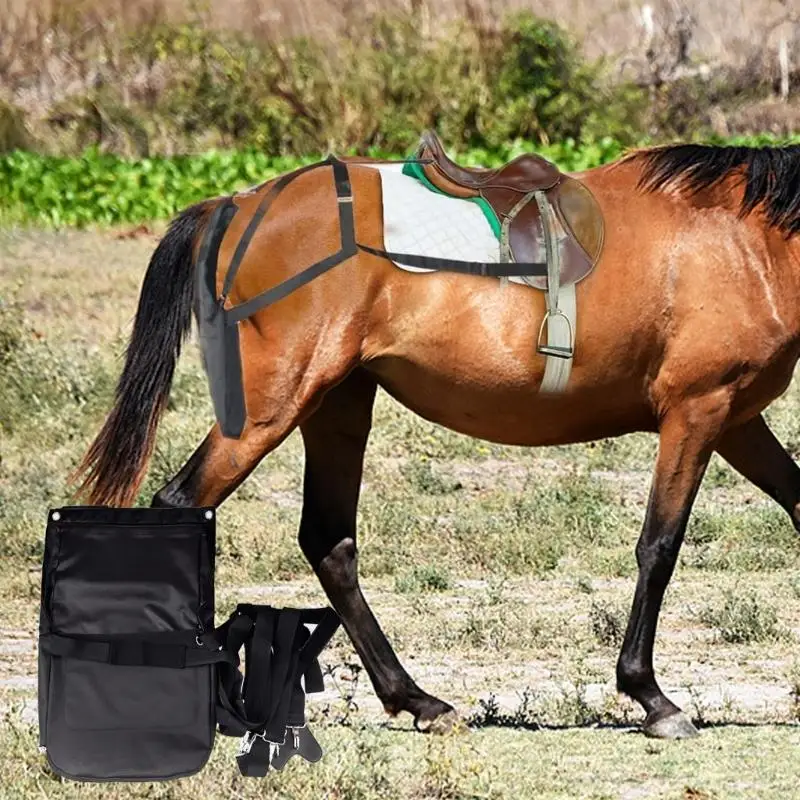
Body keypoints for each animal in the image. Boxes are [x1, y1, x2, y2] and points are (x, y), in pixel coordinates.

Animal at [72, 141, 800, 739]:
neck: (748, 243)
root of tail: (237, 204)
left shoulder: (736, 420)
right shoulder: (697, 411)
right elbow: (660, 547)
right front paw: (650, 697)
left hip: (337, 405)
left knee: (328, 543)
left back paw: (416, 700)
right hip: (268, 411)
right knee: (181, 506)